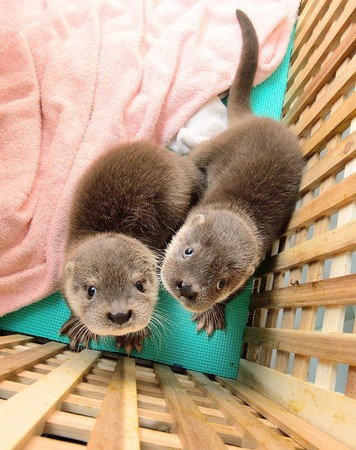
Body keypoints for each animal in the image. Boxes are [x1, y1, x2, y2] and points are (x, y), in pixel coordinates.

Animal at [59, 142, 202, 354]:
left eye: (140, 285)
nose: (119, 315)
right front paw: (78, 327)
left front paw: (133, 336)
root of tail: (179, 161)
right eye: (91, 290)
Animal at [161, 9, 304, 334]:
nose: (186, 287)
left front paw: (213, 313)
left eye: (221, 282)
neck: (237, 209)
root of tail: (252, 118)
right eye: (189, 251)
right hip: (217, 145)